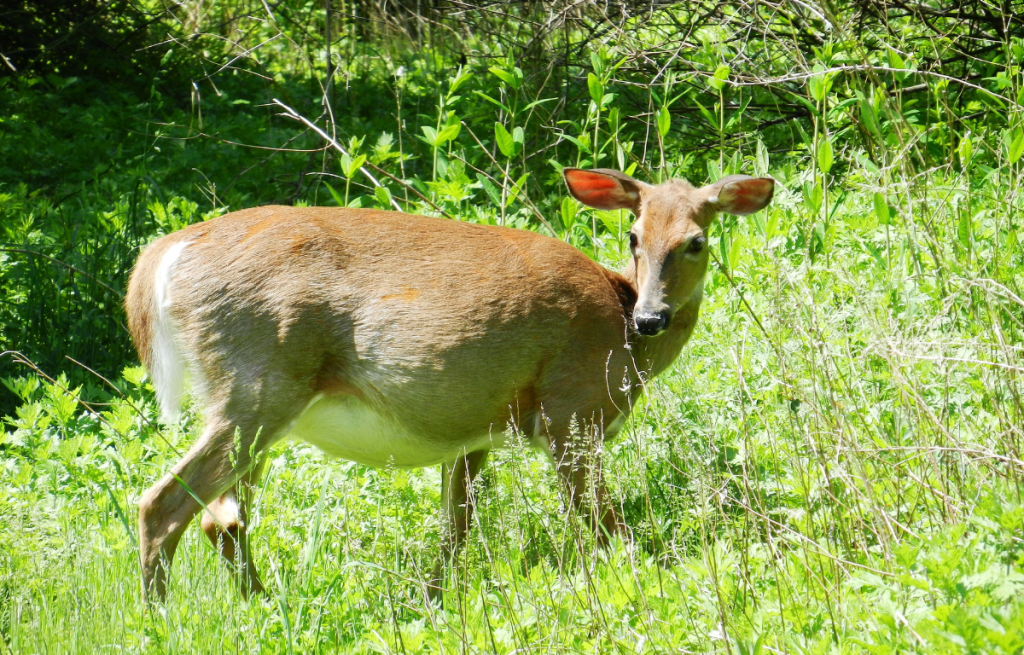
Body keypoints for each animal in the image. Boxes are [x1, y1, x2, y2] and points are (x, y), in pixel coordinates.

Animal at [123, 167, 770, 597]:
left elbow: (455, 525)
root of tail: (164, 253)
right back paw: (161, 616)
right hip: (257, 384)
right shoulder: (571, 408)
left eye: (696, 241)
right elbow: (601, 520)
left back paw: (260, 603)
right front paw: (641, 580)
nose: (651, 317)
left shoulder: (476, 429)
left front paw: (433, 599)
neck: (618, 326)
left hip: (253, 400)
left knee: (222, 517)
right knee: (164, 503)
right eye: (633, 236)